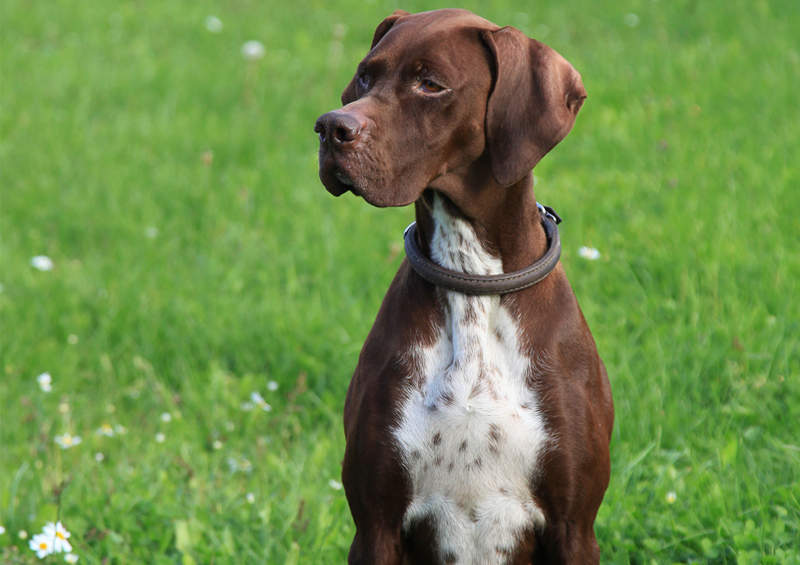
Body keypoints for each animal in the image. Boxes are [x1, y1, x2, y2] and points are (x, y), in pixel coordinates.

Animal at [312, 8, 612, 564]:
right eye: (365, 76)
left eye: (431, 85)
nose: (330, 127)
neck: (471, 278)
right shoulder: (375, 524)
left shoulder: (574, 526)